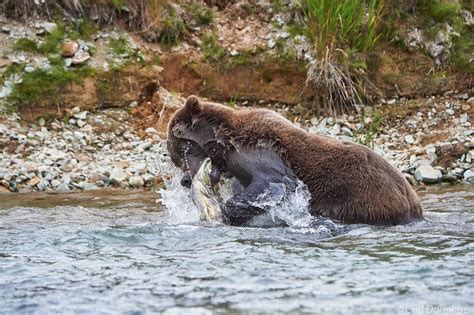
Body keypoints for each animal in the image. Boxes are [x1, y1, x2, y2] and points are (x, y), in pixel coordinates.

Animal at [167, 96, 422, 227]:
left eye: (180, 149)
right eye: (177, 157)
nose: (185, 181)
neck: (223, 142)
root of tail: (411, 198)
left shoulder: (258, 152)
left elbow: (275, 183)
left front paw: (231, 211)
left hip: (361, 196)